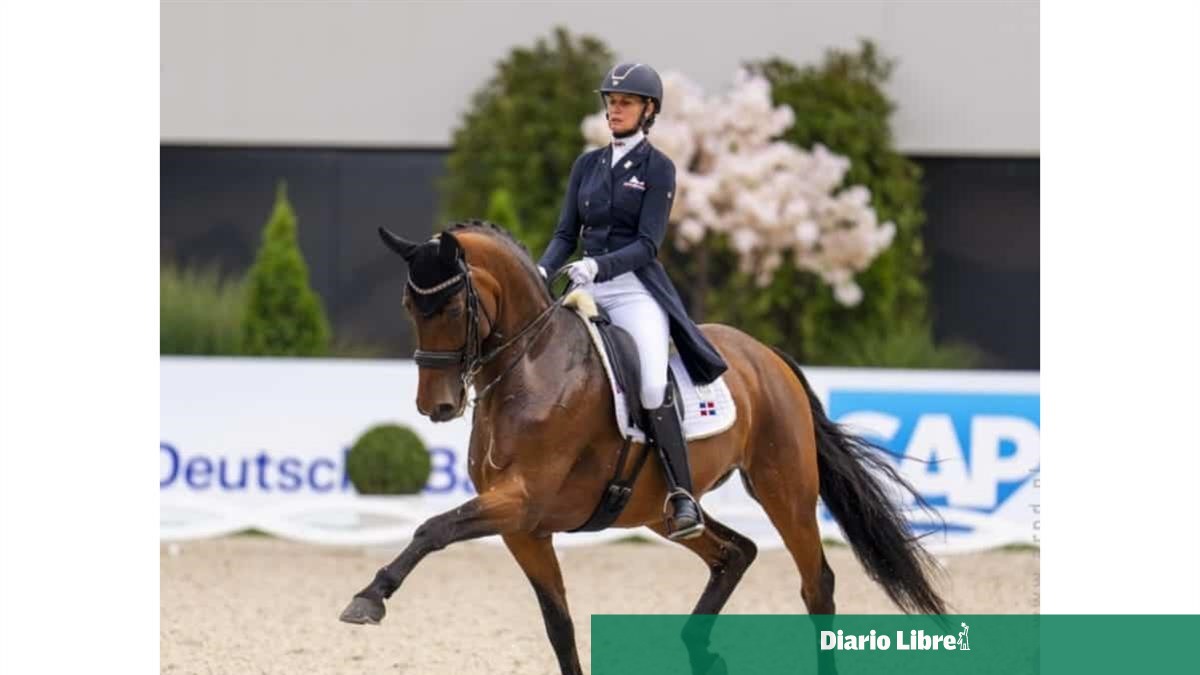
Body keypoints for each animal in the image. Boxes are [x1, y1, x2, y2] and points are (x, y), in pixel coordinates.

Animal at [339, 220, 946, 675]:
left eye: (449, 309)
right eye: (410, 307)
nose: (436, 406)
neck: (530, 367)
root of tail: (767, 356)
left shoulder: (521, 501)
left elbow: (432, 528)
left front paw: (370, 597)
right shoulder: (523, 528)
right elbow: (558, 625)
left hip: (785, 487)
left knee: (816, 583)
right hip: (660, 509)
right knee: (735, 554)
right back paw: (701, 653)